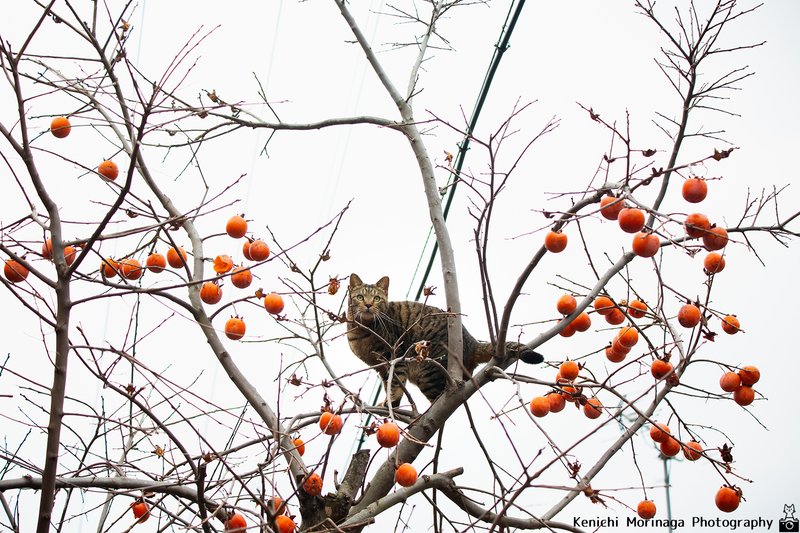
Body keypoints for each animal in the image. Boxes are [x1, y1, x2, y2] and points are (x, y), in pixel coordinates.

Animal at [346, 272, 544, 406]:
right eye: (360, 297)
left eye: (377, 298)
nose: (368, 304)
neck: (361, 330)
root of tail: (470, 341)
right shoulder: (380, 366)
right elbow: (388, 381)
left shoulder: (395, 356)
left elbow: (395, 383)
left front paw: (390, 402)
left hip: (429, 372)